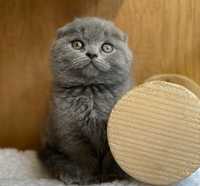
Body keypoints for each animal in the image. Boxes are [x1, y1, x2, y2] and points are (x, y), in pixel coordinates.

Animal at [38, 17, 133, 185]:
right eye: (77, 44)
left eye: (107, 47)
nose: (92, 54)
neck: (91, 92)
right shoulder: (71, 132)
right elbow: (83, 158)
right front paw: (87, 177)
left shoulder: (112, 131)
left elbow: (110, 158)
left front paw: (110, 177)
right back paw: (69, 175)